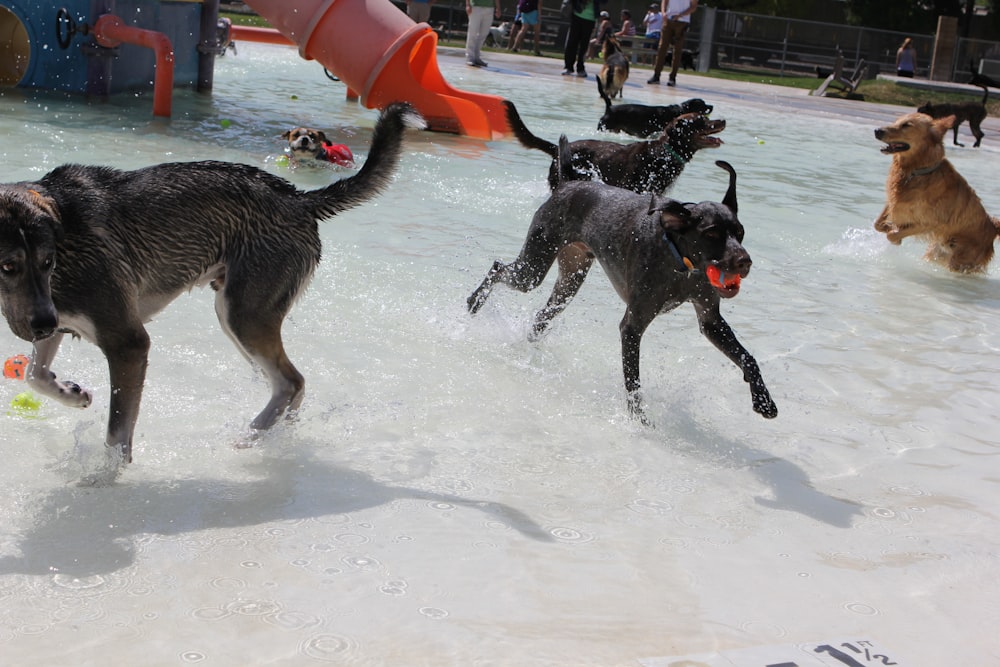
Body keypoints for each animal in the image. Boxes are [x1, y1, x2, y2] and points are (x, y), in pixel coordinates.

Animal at [0, 103, 422, 464]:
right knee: (292, 387)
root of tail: (298, 198)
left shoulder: (127, 343)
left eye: (47, 262)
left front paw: (102, 479)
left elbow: (117, 436)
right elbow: (34, 374)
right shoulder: (56, 319)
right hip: (235, 316)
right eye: (8, 267)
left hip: (243, 315)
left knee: (291, 382)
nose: (41, 325)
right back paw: (279, 431)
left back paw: (253, 436)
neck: (65, 239)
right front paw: (72, 393)